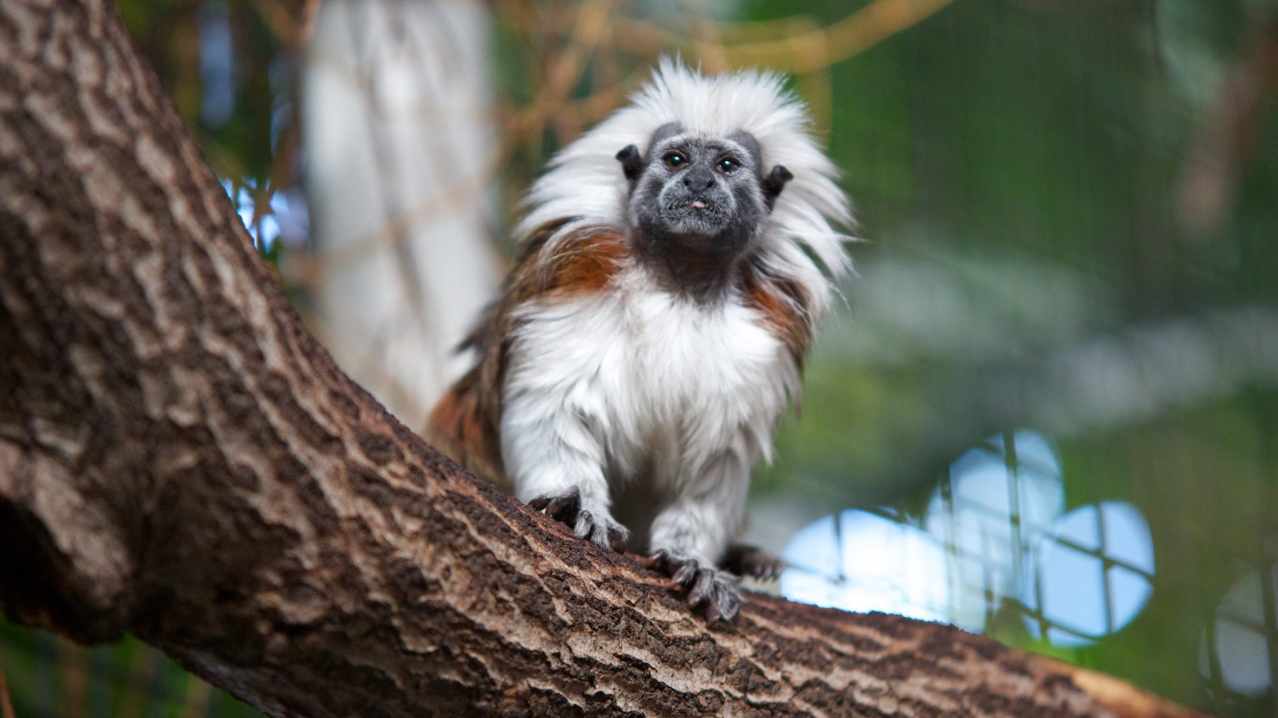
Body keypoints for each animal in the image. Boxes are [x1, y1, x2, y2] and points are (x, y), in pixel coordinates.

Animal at [428, 59, 852, 622]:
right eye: (675, 159)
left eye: (726, 165)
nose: (697, 180)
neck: (681, 284)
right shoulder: (576, 286)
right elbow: (550, 410)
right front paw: (577, 505)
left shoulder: (758, 344)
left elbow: (711, 471)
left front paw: (694, 558)